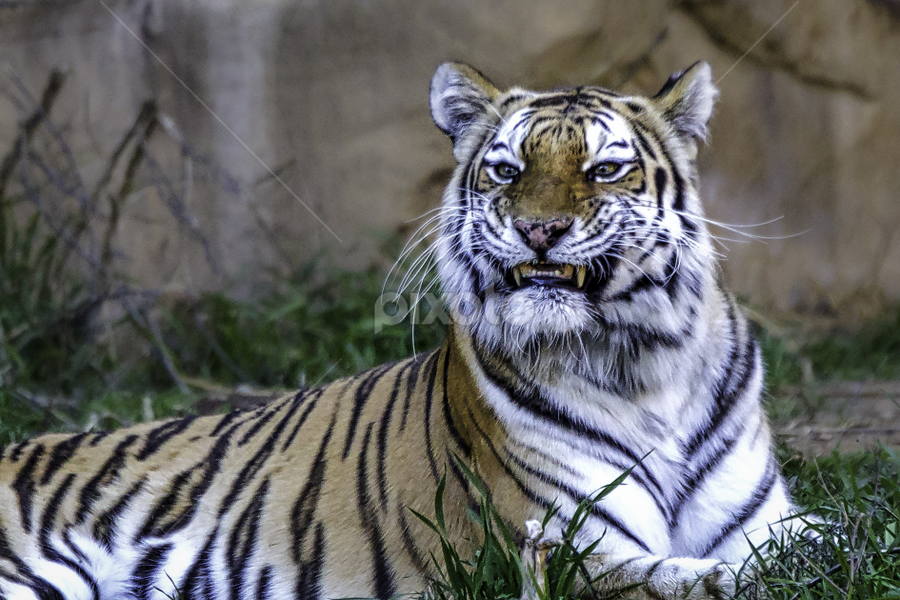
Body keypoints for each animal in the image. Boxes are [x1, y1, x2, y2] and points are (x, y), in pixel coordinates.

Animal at [0, 61, 799, 600]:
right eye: (507, 170)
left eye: (604, 170)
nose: (538, 230)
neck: (644, 366)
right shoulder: (552, 546)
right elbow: (697, 577)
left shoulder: (761, 519)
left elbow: (800, 545)